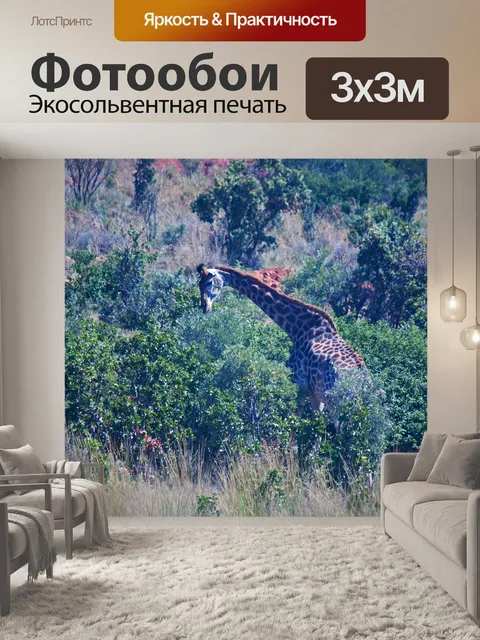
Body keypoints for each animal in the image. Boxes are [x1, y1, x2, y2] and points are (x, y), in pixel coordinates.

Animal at [196, 264, 365, 411]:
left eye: (209, 282)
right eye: (199, 284)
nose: (204, 307)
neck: (298, 329)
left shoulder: (299, 383)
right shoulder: (315, 395)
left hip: (335, 403)